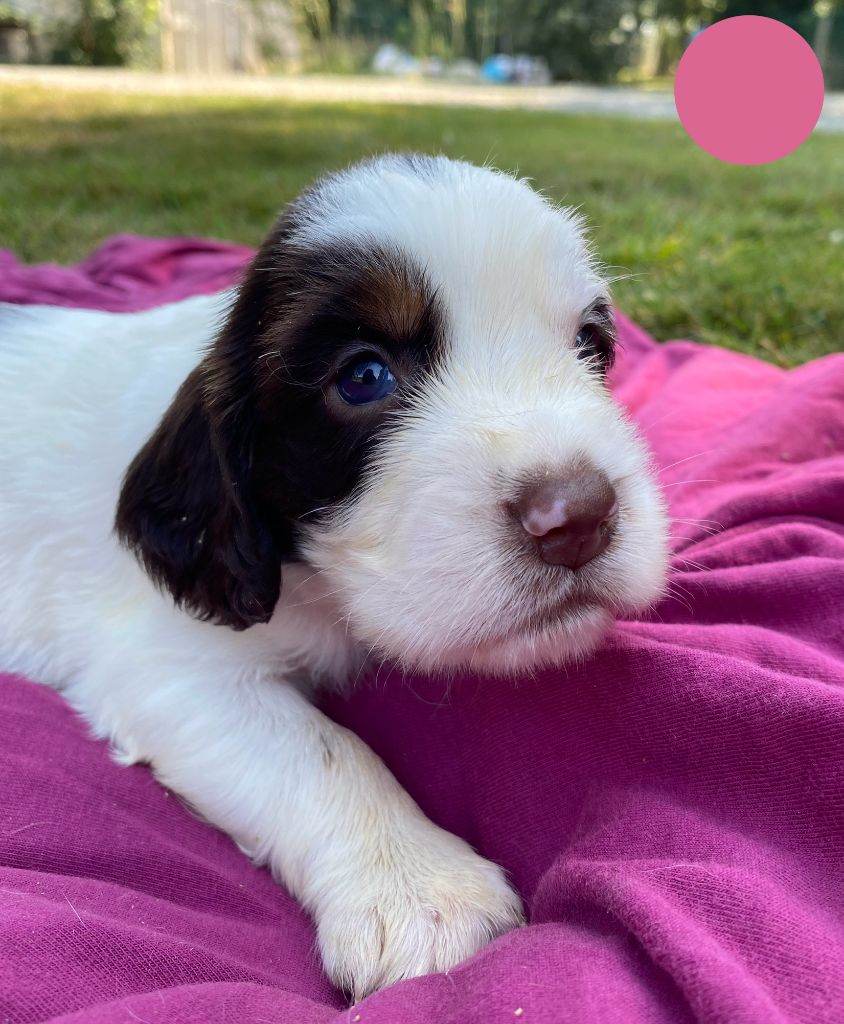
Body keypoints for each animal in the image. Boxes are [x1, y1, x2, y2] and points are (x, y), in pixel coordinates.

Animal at [1, 155, 667, 995]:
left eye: (589, 345)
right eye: (364, 377)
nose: (577, 518)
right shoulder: (171, 666)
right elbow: (322, 752)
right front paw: (420, 889)